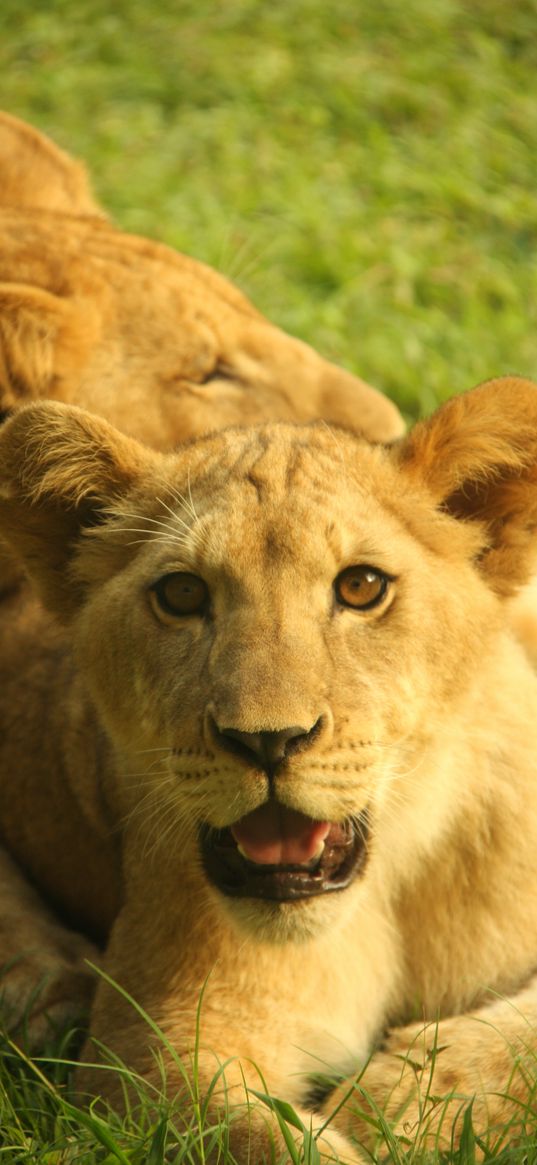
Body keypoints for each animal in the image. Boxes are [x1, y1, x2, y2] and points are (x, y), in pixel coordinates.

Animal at [1, 377, 535, 1160]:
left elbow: (517, 1037)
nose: (267, 742)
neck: (386, 883)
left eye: (361, 586)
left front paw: (393, 1103)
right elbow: (266, 1138)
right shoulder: (153, 1041)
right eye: (183, 593)